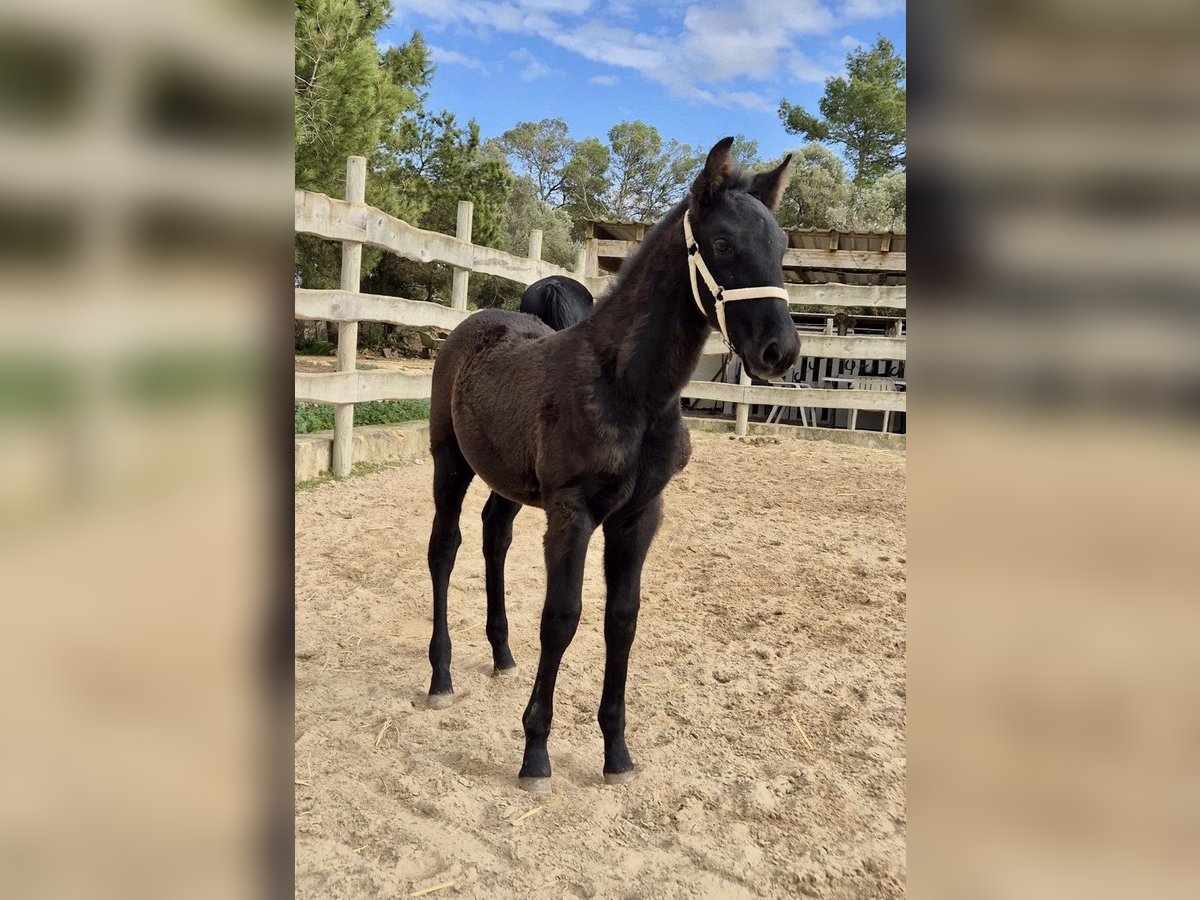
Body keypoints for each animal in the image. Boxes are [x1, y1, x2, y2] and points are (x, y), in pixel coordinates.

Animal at [424, 137, 800, 794]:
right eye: (724, 243)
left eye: (781, 248)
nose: (781, 351)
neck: (630, 389)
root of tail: (472, 324)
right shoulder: (572, 511)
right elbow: (562, 617)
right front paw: (535, 756)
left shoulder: (638, 516)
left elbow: (621, 619)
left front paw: (617, 753)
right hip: (450, 463)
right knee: (444, 549)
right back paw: (440, 677)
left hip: (509, 481)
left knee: (494, 537)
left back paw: (502, 654)